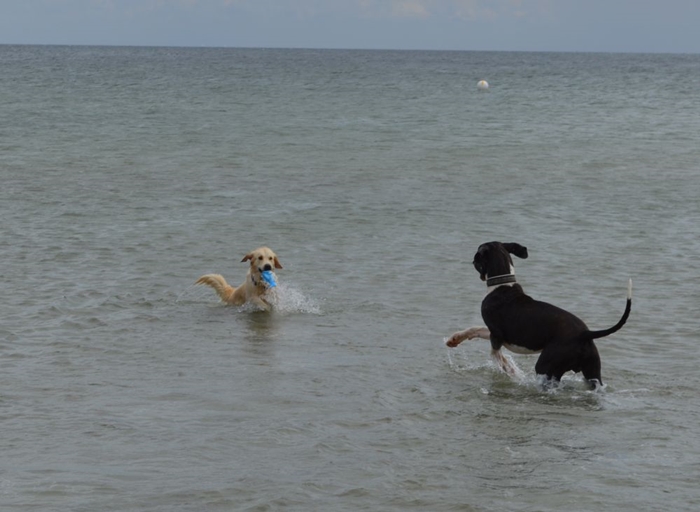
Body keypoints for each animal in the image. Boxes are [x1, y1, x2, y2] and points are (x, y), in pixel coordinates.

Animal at [446, 242, 631, 388]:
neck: (502, 284)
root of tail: (585, 334)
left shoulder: (496, 336)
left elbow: (497, 356)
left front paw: (512, 372)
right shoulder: (494, 333)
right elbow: (475, 329)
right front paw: (454, 339)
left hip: (546, 368)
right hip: (592, 374)